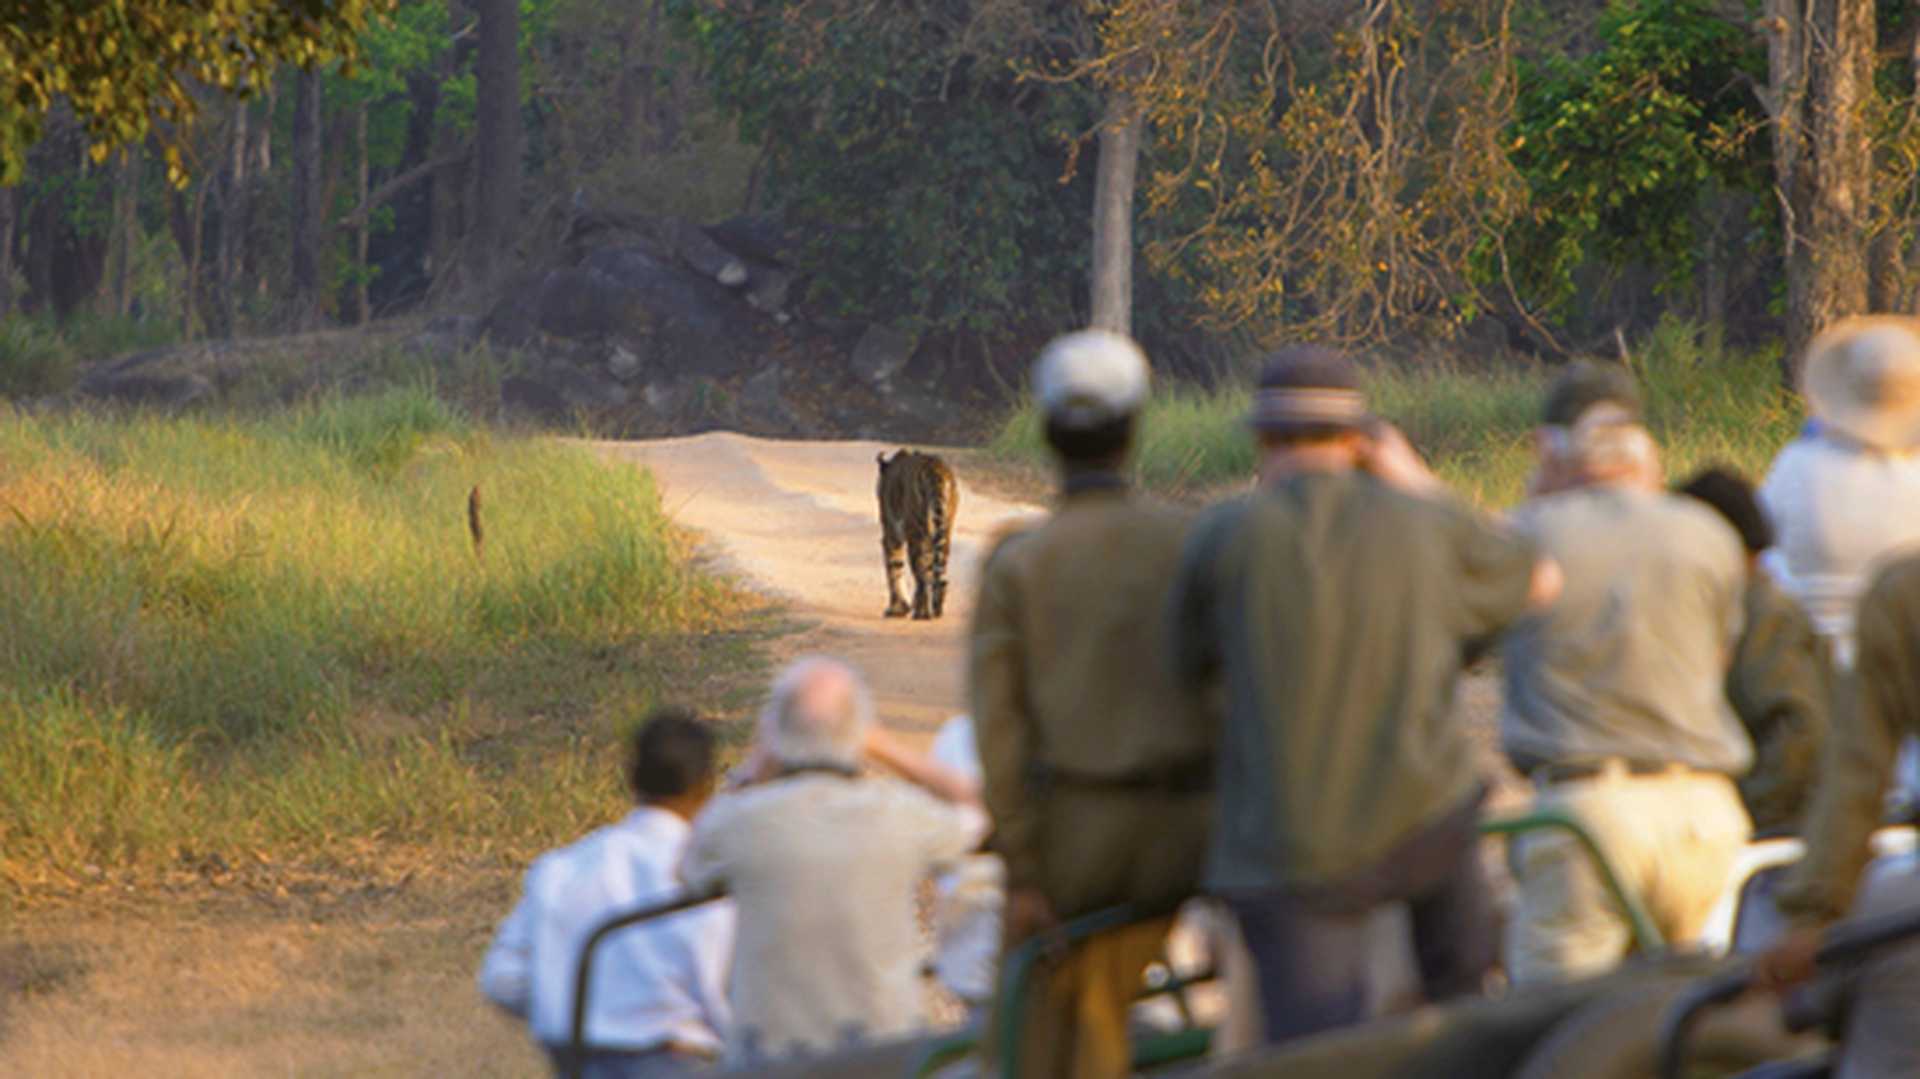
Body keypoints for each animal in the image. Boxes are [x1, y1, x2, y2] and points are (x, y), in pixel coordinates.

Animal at [876, 448, 959, 620]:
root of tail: (935, 469)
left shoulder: (891, 534)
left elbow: (894, 568)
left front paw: (897, 609)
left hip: (916, 535)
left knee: (922, 577)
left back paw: (922, 612)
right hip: (945, 531)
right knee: (938, 575)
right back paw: (936, 608)